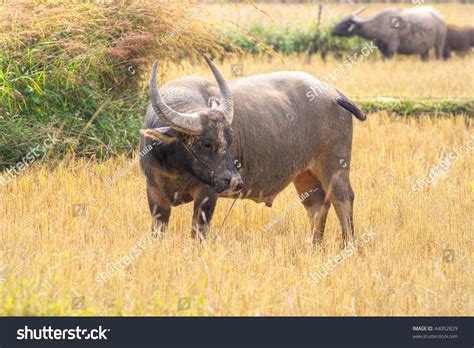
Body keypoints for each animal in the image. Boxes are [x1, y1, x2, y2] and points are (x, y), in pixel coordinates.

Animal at [138, 55, 366, 245]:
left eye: (229, 141)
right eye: (206, 143)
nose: (234, 181)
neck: (175, 165)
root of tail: (334, 92)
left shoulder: (207, 194)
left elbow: (198, 233)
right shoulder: (154, 193)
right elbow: (157, 232)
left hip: (334, 166)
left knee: (342, 200)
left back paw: (347, 245)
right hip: (304, 174)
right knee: (317, 205)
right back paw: (314, 246)